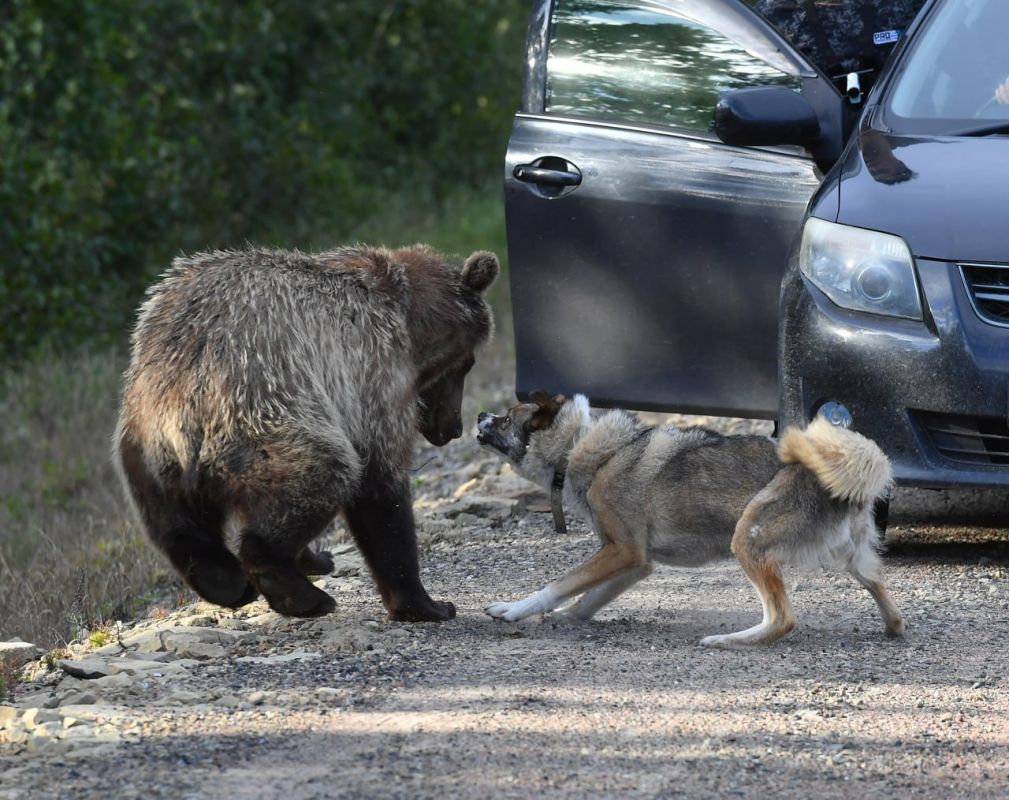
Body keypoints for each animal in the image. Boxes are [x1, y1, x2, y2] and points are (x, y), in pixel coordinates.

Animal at [115, 244, 498, 621]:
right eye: (466, 363)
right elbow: (380, 487)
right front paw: (426, 603)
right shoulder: (369, 376)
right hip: (263, 414)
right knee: (323, 473)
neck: (407, 321)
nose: (453, 427)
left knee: (178, 529)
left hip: (143, 448)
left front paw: (318, 557)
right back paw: (301, 595)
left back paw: (225, 581)